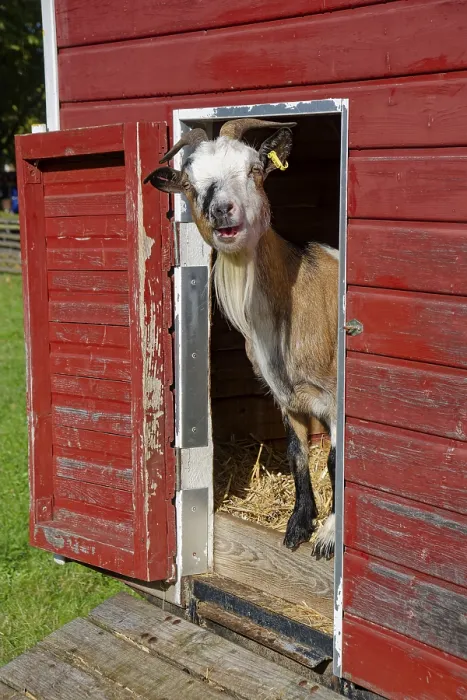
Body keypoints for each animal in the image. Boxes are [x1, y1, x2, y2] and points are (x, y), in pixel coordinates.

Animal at [145, 119, 339, 558]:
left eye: (254, 169)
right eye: (189, 184)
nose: (221, 210)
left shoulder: (337, 396)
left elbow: (336, 462)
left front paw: (330, 535)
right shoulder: (287, 397)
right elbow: (297, 454)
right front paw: (298, 525)